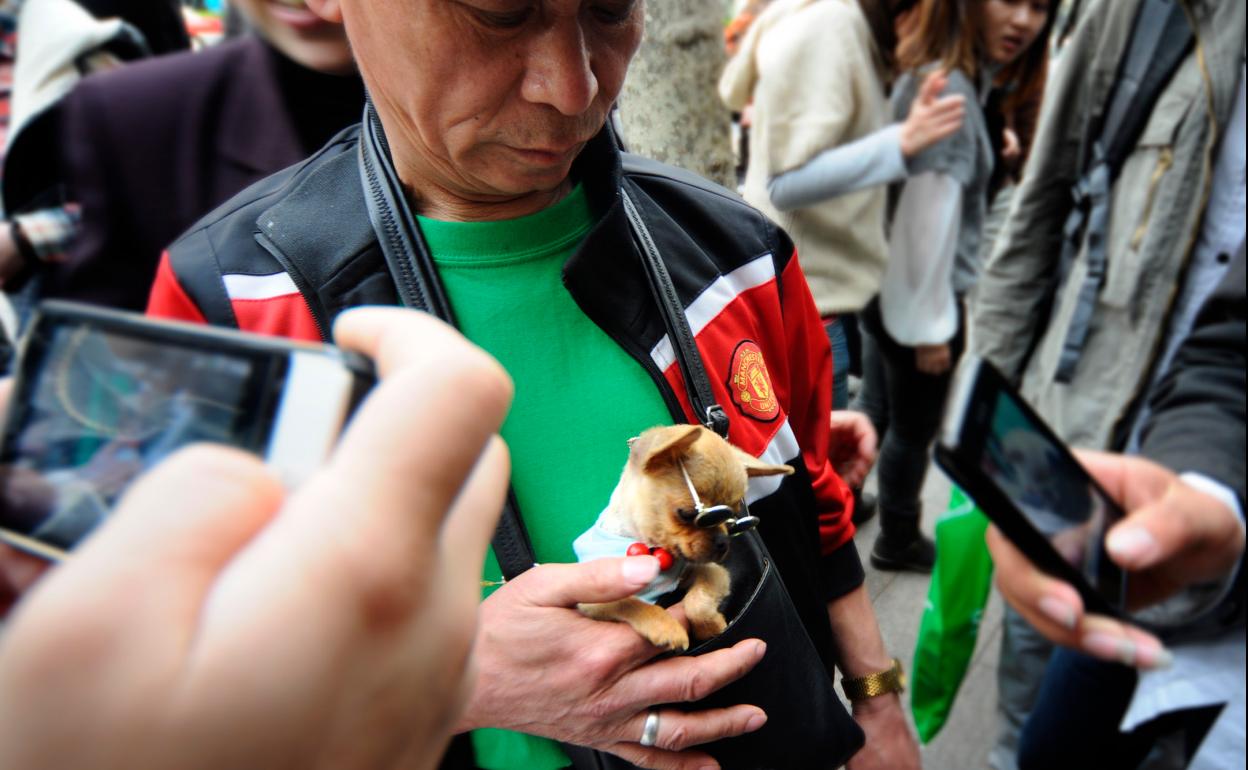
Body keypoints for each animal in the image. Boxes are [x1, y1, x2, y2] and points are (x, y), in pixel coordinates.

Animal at [571, 424, 788, 653]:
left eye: (732, 519)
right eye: (687, 514)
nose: (723, 542)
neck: (649, 546)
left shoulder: (715, 573)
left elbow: (698, 602)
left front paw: (709, 627)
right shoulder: (592, 604)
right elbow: (631, 603)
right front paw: (667, 628)